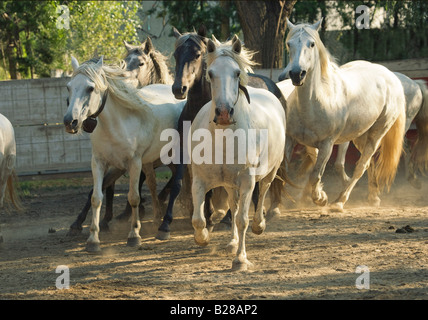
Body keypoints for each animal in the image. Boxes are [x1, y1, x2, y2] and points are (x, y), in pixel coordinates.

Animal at [63, 57, 184, 252]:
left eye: (90, 88)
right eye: (69, 87)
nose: (70, 122)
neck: (116, 125)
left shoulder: (134, 163)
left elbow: (133, 197)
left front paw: (134, 235)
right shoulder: (99, 162)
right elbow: (96, 197)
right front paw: (93, 239)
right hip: (153, 161)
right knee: (153, 184)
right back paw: (157, 217)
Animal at [190, 37, 284, 270]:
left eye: (236, 72)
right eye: (210, 73)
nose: (224, 113)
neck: (224, 140)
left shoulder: (247, 182)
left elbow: (242, 219)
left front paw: (240, 259)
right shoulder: (199, 180)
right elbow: (199, 219)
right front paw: (203, 238)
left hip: (269, 172)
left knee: (263, 193)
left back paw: (259, 225)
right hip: (230, 183)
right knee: (233, 205)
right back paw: (232, 242)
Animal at [280, 18, 406, 211]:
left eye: (312, 44)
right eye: (289, 44)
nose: (296, 74)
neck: (315, 102)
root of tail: (390, 75)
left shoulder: (327, 144)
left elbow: (316, 174)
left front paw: (320, 198)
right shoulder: (290, 139)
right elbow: (284, 171)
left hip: (377, 133)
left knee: (361, 165)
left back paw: (340, 200)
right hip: (359, 135)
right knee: (368, 163)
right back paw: (373, 197)